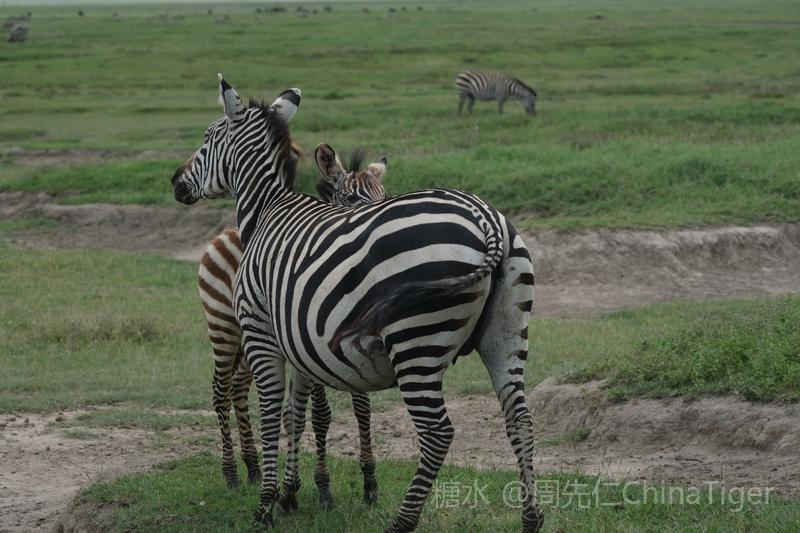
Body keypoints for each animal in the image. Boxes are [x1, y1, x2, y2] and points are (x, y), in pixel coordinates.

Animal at [198, 150, 388, 506]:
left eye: (384, 194)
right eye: (352, 199)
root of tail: (226, 232)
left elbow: (362, 409)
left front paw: (370, 482)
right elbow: (320, 414)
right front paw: (322, 486)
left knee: (238, 386)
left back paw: (252, 467)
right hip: (222, 324)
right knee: (220, 390)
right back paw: (230, 473)